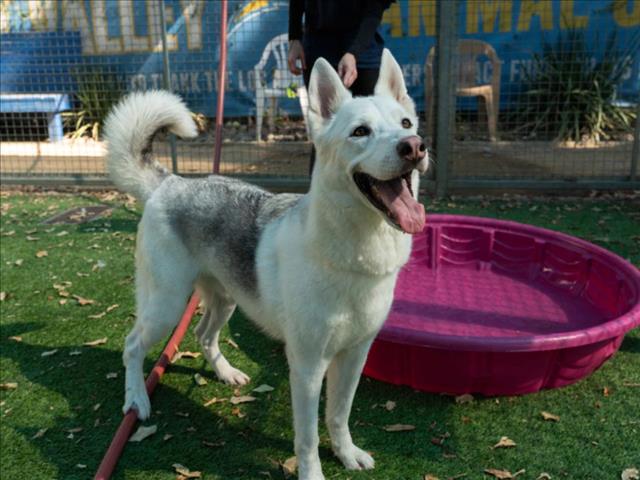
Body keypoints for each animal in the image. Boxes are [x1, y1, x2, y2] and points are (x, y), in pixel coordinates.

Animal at [104, 49, 424, 480]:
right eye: (360, 132)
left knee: (203, 334)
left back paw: (226, 373)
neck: (355, 253)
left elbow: (339, 416)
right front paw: (312, 474)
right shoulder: (306, 366)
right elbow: (307, 437)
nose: (414, 146)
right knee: (132, 345)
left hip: (226, 299)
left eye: (405, 123)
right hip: (166, 305)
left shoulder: (354, 356)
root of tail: (170, 182)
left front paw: (346, 454)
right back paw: (137, 399)